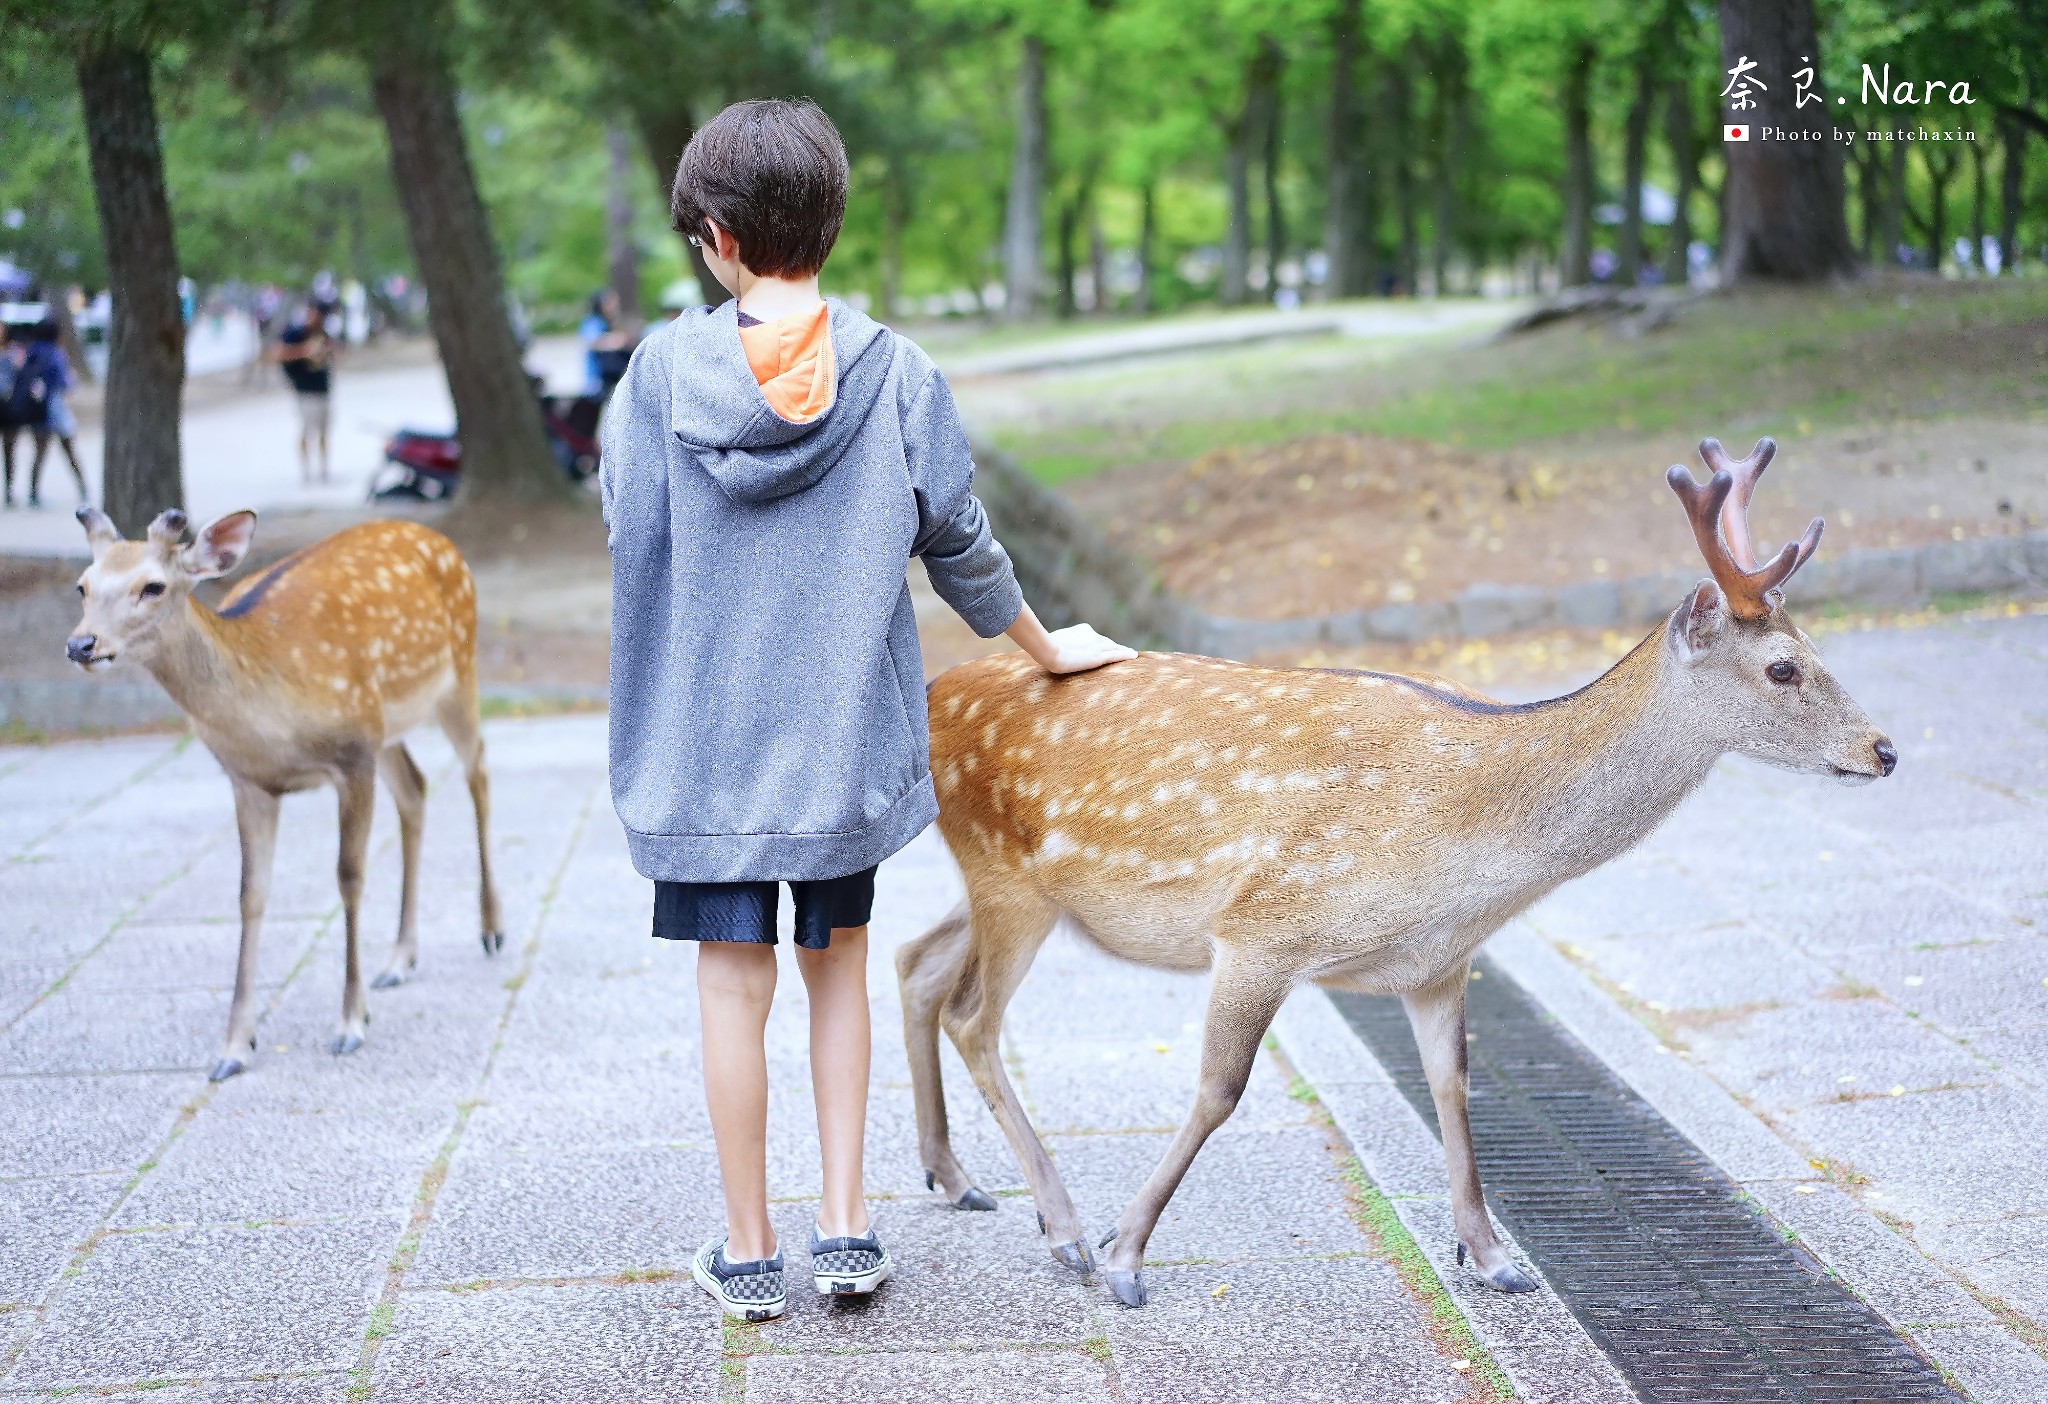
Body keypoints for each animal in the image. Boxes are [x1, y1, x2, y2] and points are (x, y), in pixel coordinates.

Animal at [69, 511, 503, 1080]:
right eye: (82, 586)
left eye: (153, 586)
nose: (81, 644)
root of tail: (435, 537)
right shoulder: (247, 780)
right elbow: (250, 894)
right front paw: (234, 1045)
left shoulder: (351, 756)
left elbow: (349, 877)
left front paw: (350, 1023)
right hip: (387, 727)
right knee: (415, 789)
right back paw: (399, 959)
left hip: (458, 671)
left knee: (478, 770)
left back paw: (491, 930)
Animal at [905, 437, 1892, 1309]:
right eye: (1783, 667)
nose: (1884, 750)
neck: (1464, 859)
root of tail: (929, 695)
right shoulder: (1264, 927)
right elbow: (1220, 1091)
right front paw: (1127, 1254)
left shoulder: (1438, 964)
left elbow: (1454, 1088)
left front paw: (1492, 1257)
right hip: (1007, 877)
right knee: (972, 1017)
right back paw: (1065, 1226)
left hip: (1001, 885)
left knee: (917, 965)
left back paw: (955, 1178)